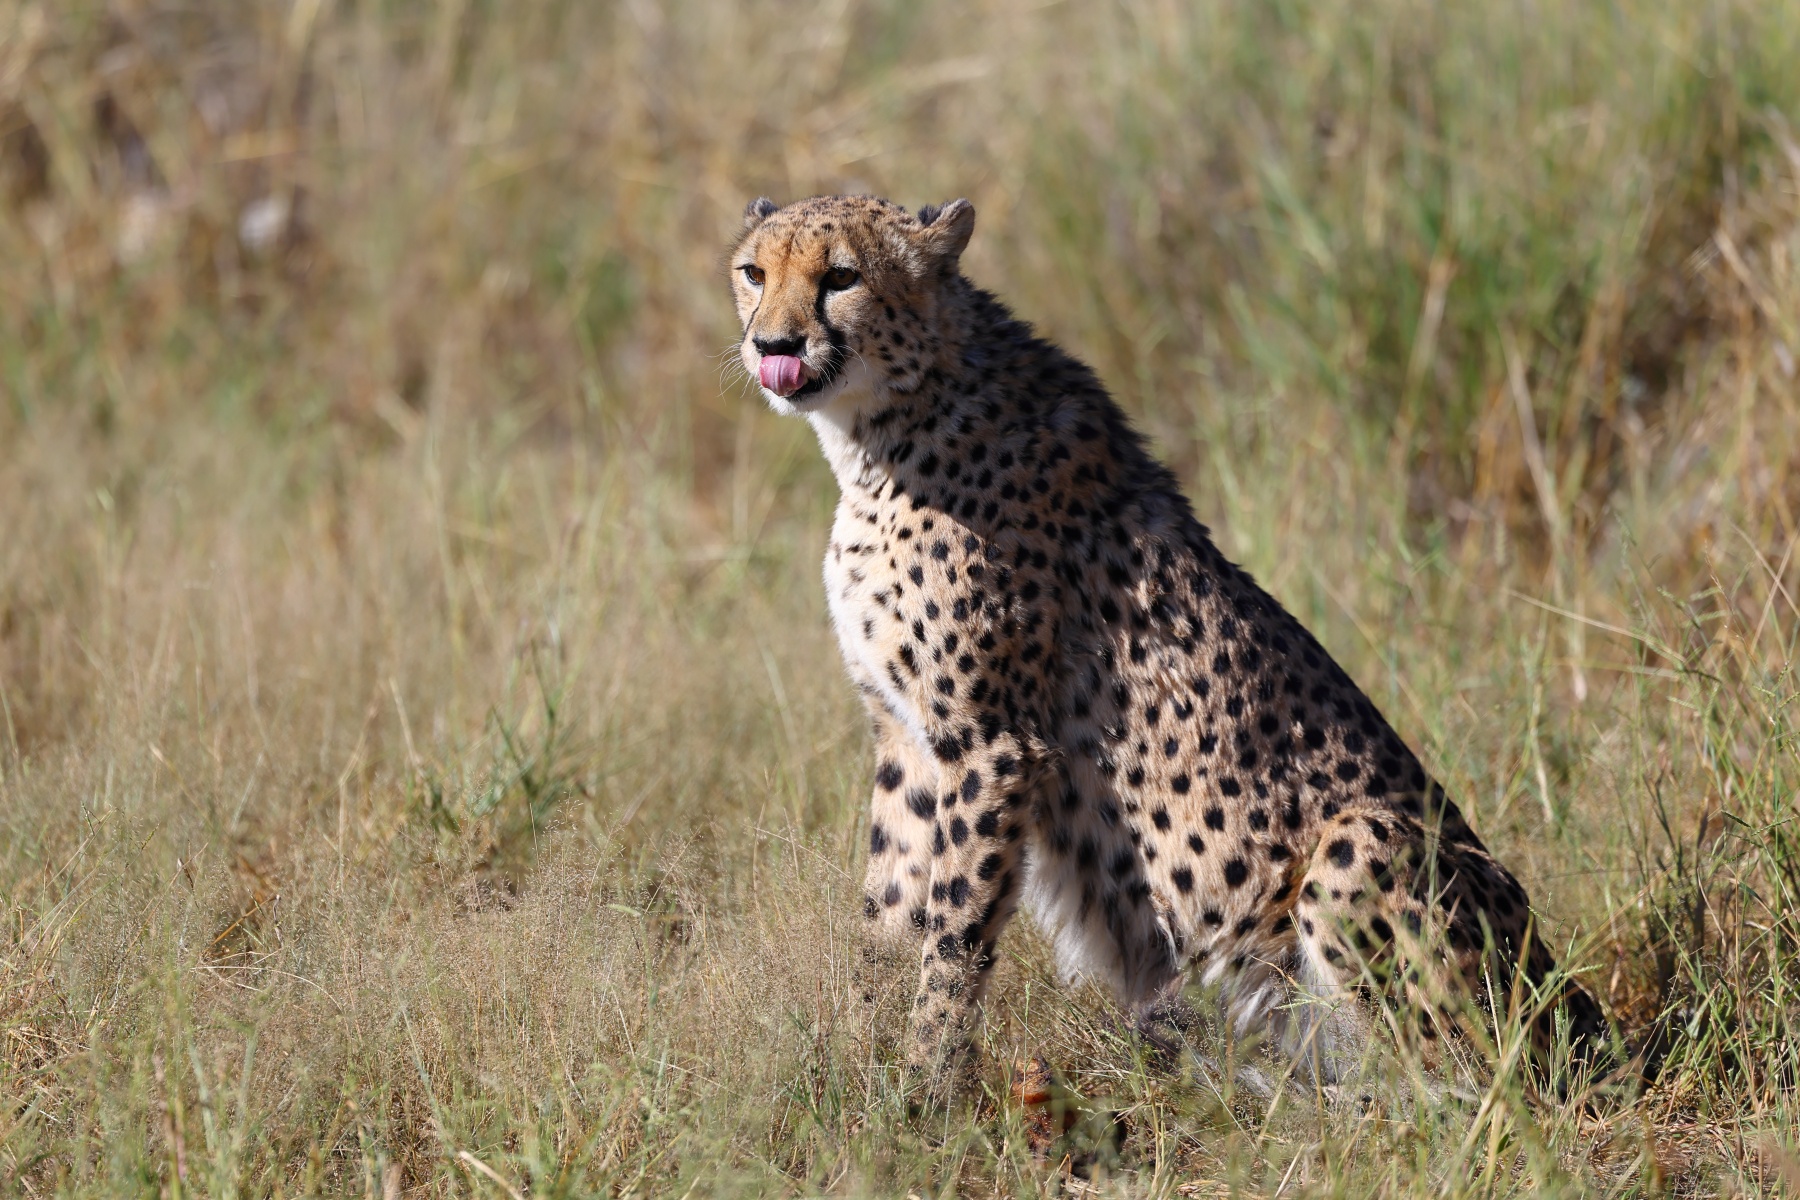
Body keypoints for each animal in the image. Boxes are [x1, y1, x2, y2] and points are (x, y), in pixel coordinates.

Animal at [727, 192, 1616, 1094]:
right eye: (754, 273)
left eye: (842, 277)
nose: (774, 346)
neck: (887, 421)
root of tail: (1581, 1016)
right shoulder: (906, 736)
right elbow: (886, 915)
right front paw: (860, 1069)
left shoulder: (992, 743)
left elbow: (955, 934)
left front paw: (926, 1088)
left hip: (1364, 846)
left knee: (1460, 1083)